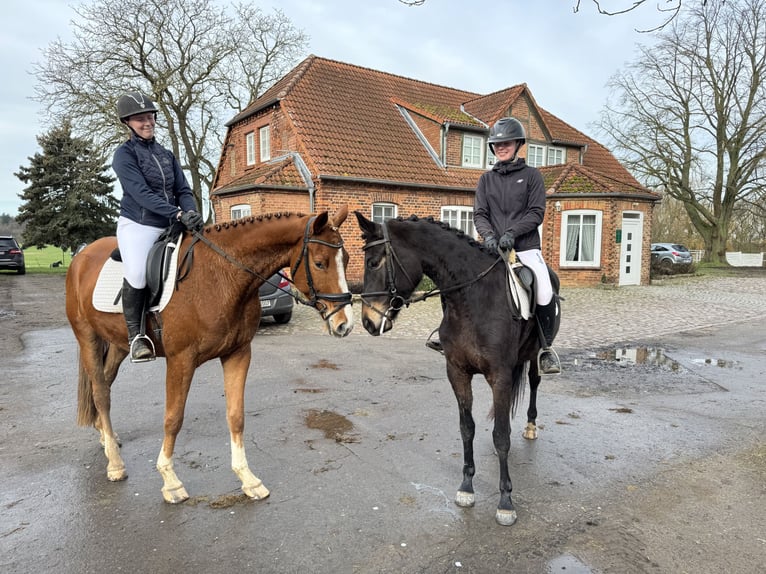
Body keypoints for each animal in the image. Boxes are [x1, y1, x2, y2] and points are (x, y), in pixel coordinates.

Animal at [66, 207, 354, 504]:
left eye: (346, 259)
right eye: (320, 263)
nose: (345, 324)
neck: (221, 275)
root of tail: (81, 257)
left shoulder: (238, 353)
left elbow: (236, 416)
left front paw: (247, 479)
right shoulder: (180, 360)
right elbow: (173, 418)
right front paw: (170, 481)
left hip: (119, 344)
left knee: (105, 384)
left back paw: (106, 438)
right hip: (87, 336)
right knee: (100, 393)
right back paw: (115, 463)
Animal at [354, 214, 560, 528]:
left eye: (374, 262)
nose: (367, 321)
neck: (472, 299)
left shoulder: (499, 376)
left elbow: (501, 436)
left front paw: (506, 502)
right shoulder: (457, 372)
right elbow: (467, 429)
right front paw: (466, 488)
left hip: (534, 354)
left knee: (534, 382)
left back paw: (531, 426)